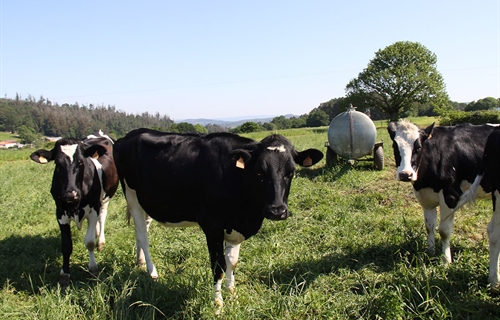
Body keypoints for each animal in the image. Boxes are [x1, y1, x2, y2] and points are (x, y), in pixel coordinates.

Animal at [30, 131, 118, 288]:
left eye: (81, 162)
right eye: (57, 164)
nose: (71, 194)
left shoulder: (93, 209)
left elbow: (89, 242)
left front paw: (93, 268)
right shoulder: (60, 213)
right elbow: (66, 246)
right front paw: (64, 275)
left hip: (105, 199)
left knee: (102, 217)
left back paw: (100, 242)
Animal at [112, 129, 324, 306]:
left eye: (291, 172)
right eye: (259, 172)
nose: (277, 211)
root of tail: (130, 135)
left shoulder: (235, 225)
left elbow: (232, 261)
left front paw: (232, 292)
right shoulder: (212, 225)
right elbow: (218, 265)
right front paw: (218, 304)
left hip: (146, 202)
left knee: (142, 230)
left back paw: (140, 263)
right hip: (131, 195)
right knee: (142, 236)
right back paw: (152, 272)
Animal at [388, 121, 494, 264]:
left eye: (418, 147)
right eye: (395, 146)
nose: (405, 174)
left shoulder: (451, 195)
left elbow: (444, 231)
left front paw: (446, 260)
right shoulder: (426, 198)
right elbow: (429, 227)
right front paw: (429, 252)